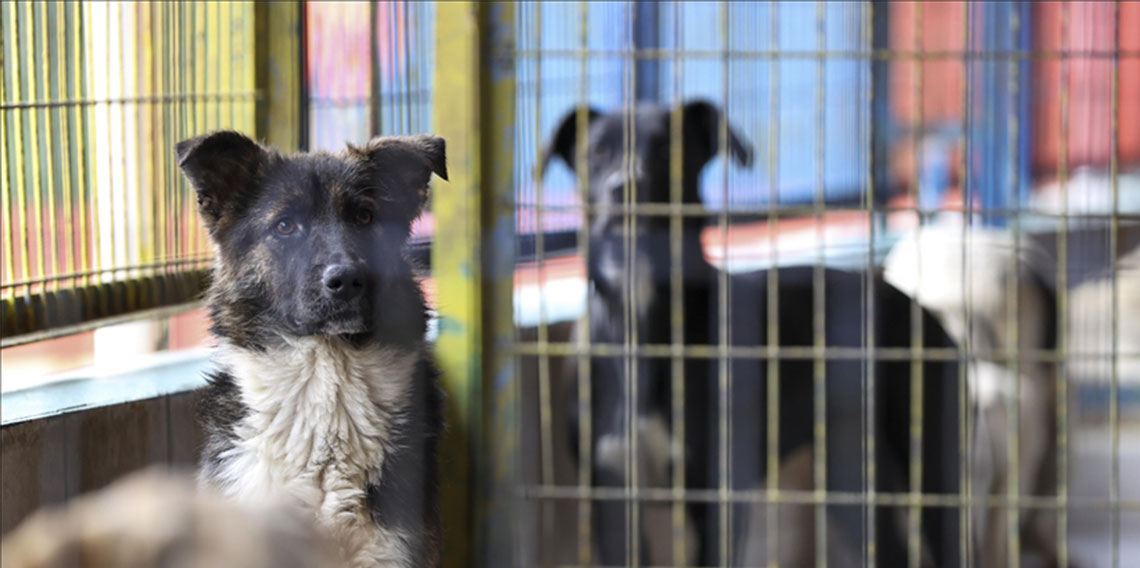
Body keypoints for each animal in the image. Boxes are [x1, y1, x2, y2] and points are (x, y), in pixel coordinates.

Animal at [540, 99, 962, 565]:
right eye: (597, 153)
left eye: (669, 149)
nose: (625, 186)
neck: (641, 316)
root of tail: (903, 295)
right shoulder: (611, 497)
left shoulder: (716, 499)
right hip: (849, 472)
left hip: (932, 470)